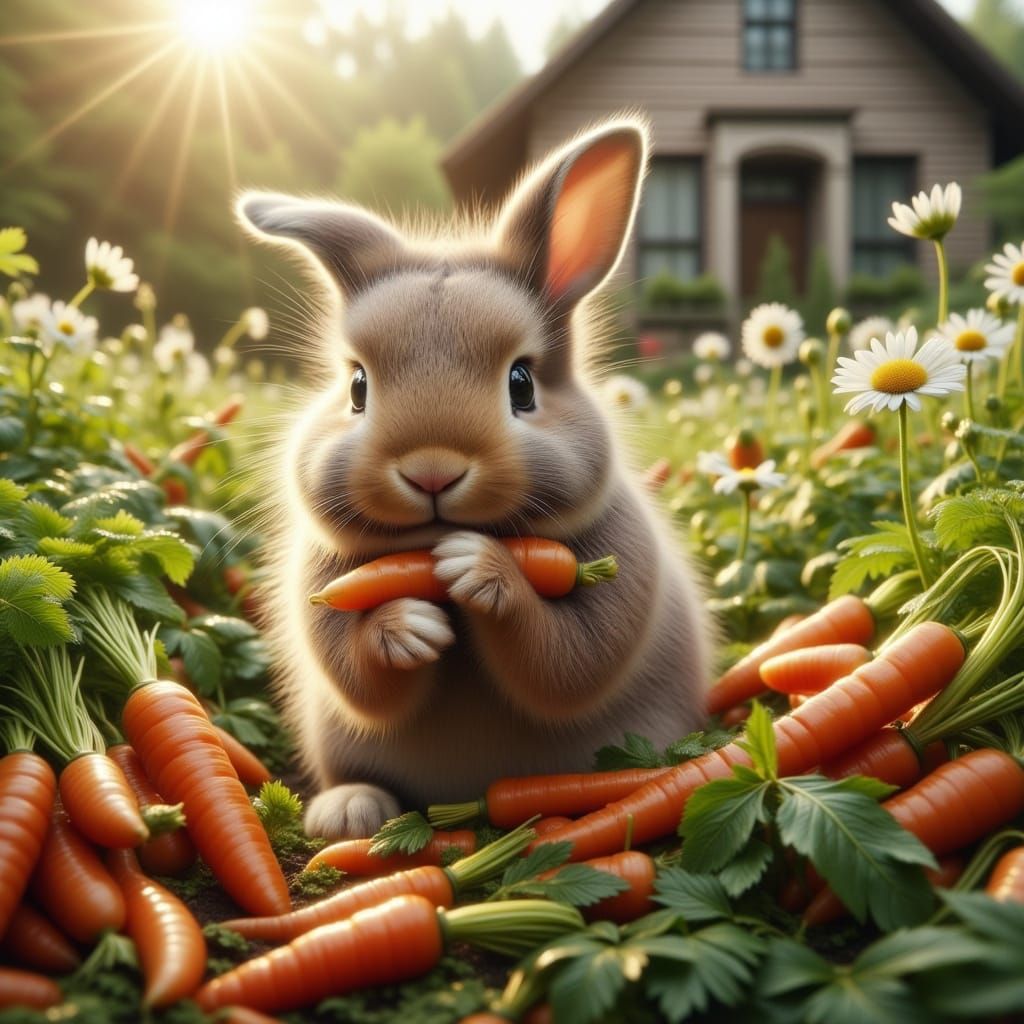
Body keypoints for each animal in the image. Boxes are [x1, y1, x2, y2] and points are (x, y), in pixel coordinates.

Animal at [237, 115, 714, 840]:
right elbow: (356, 673)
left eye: (521, 384)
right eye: (357, 387)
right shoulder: (326, 585)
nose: (432, 470)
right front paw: (408, 626)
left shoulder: (619, 572)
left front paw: (477, 569)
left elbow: (569, 660)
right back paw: (349, 811)